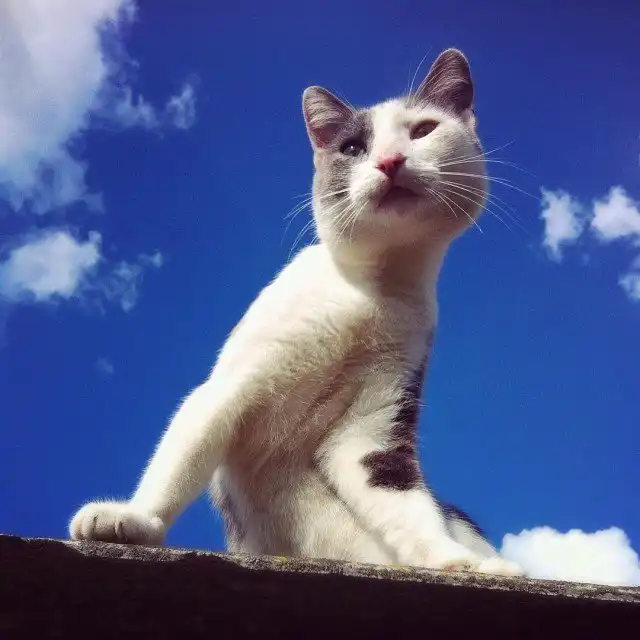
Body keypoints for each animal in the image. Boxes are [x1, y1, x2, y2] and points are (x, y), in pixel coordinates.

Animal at [69, 48, 524, 577]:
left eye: (423, 130)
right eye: (353, 147)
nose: (390, 161)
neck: (371, 290)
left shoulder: (373, 423)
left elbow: (401, 497)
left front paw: (459, 562)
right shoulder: (233, 383)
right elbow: (185, 450)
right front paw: (135, 519)